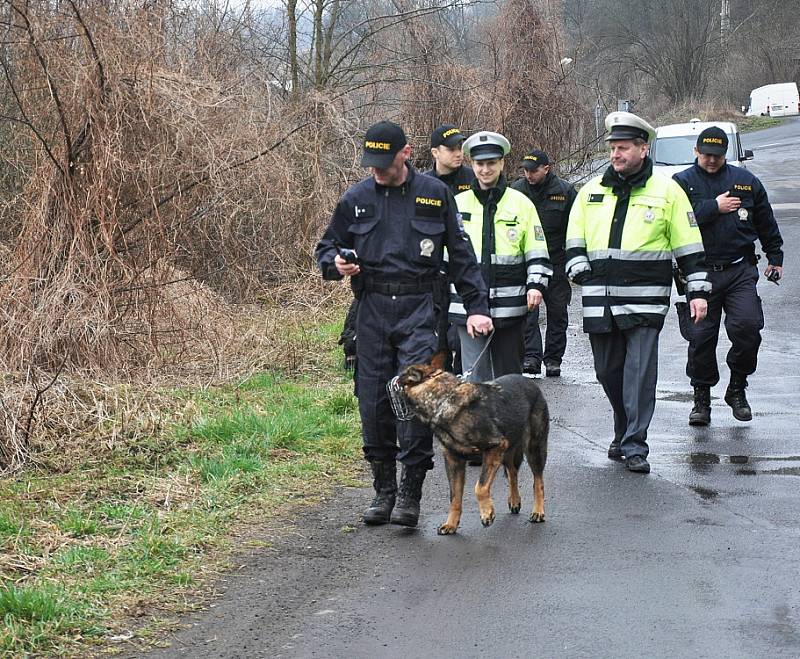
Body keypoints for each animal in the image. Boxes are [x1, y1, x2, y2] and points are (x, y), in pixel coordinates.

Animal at [396, 354, 548, 532]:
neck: (442, 398)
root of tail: (530, 383)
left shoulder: (495, 448)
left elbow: (480, 487)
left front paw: (487, 514)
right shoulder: (454, 462)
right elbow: (454, 497)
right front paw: (451, 523)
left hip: (533, 448)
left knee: (538, 480)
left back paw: (538, 511)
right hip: (508, 451)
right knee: (512, 472)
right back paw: (514, 500)